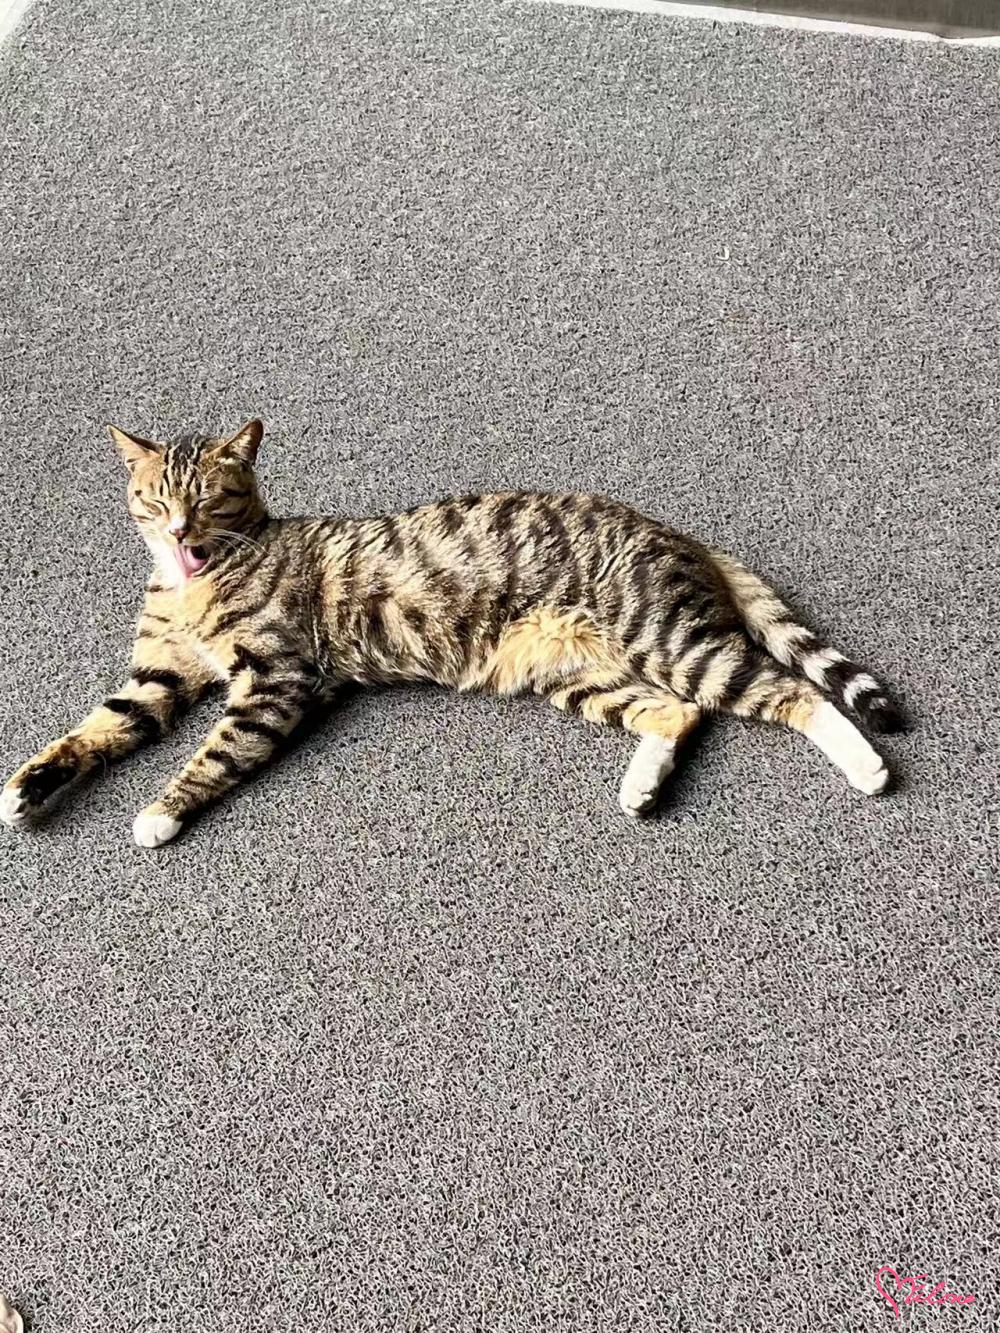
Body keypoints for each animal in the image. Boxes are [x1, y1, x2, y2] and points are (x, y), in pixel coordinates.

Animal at [0, 420, 902, 847]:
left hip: (669, 637)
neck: (194, 581)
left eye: (209, 498)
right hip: (572, 671)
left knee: (787, 693)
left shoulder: (276, 676)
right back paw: (641, 786)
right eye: (155, 498)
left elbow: (211, 754)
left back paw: (868, 768)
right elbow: (95, 730)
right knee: (676, 713)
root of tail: (676, 531)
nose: (181, 531)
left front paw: (160, 811)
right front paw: (28, 786)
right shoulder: (159, 675)